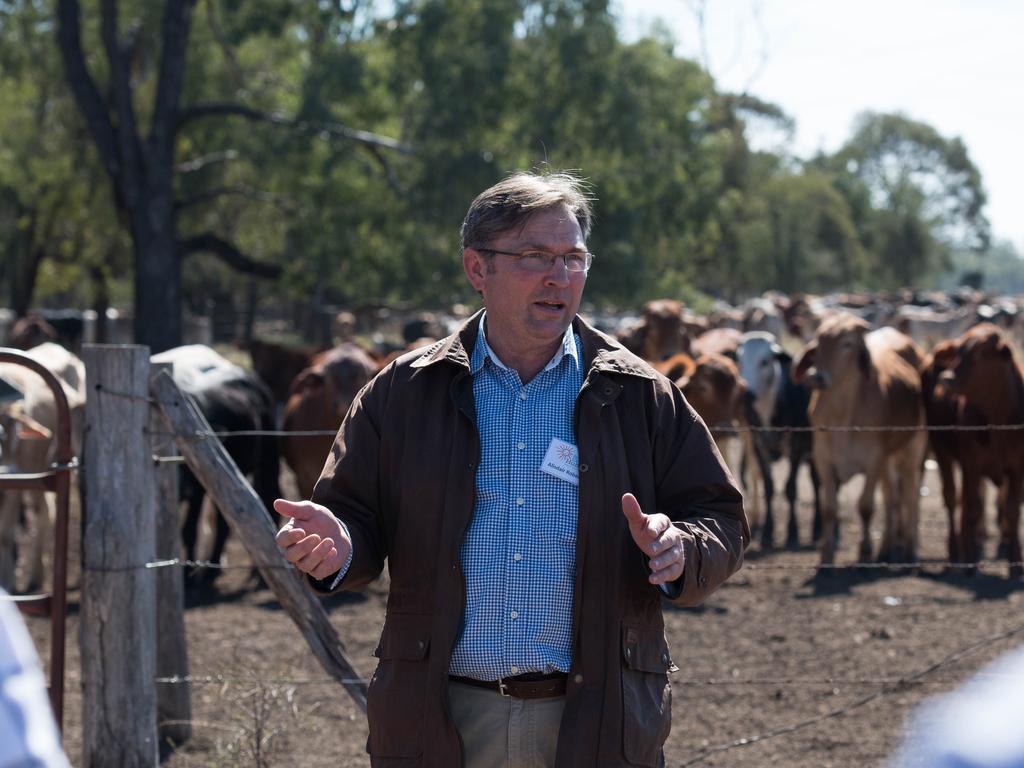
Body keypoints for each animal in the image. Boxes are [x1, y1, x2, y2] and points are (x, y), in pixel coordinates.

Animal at [790, 315, 929, 569]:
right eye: (819, 341)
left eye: (847, 343)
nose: (817, 377)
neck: (842, 415)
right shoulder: (823, 459)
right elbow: (829, 509)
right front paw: (826, 557)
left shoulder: (874, 460)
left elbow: (865, 507)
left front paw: (865, 552)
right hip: (889, 460)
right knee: (892, 498)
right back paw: (887, 548)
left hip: (913, 448)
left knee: (910, 495)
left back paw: (910, 550)